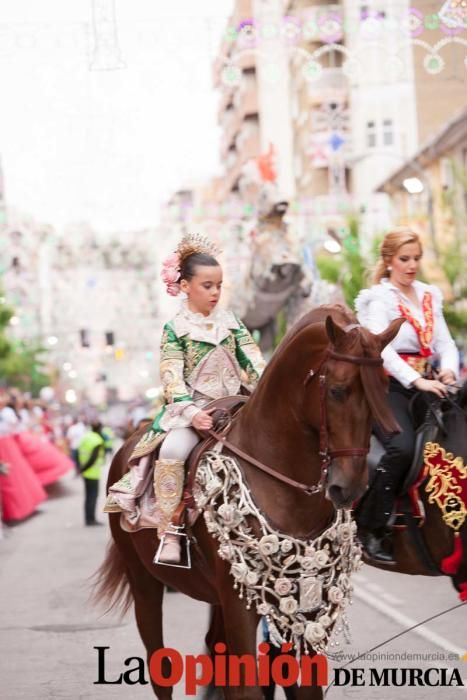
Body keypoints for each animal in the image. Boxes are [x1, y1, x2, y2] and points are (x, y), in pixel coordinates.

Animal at [95, 308, 402, 700]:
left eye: (385, 387)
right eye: (337, 390)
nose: (349, 487)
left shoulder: (305, 603)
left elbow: (303, 686)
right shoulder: (239, 603)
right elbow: (247, 687)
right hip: (144, 581)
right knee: (158, 663)